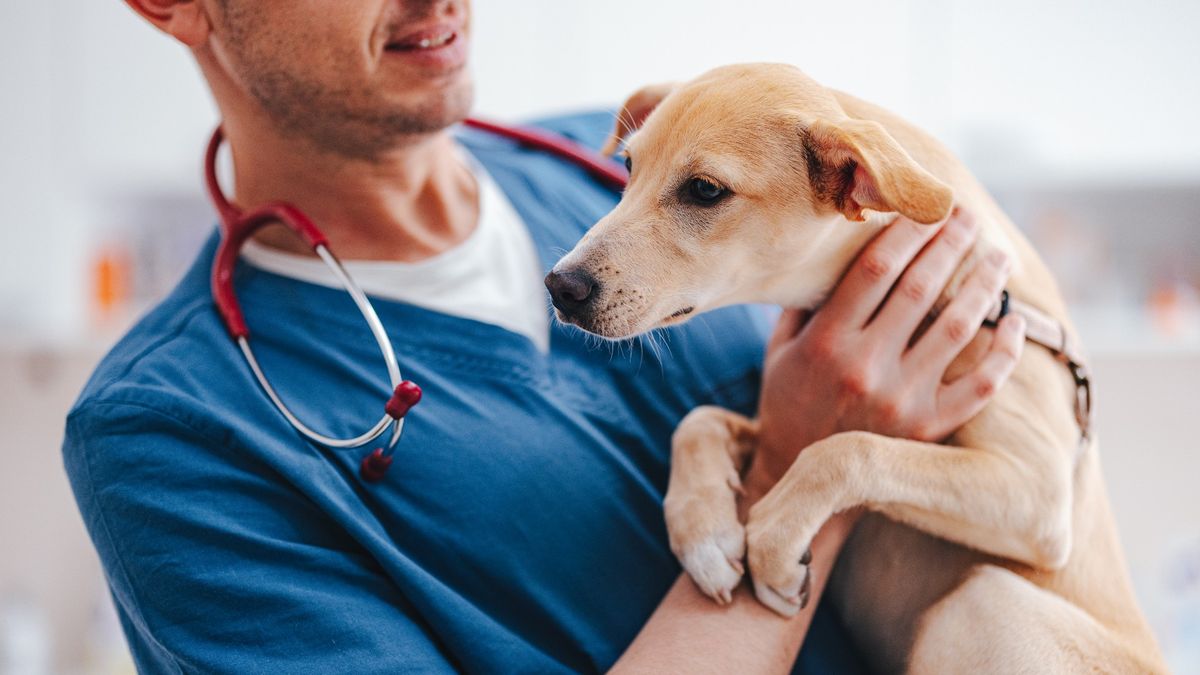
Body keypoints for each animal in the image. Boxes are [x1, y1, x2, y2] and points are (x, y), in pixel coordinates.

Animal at [549, 64, 1166, 672]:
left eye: (705, 190)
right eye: (629, 167)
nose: (560, 287)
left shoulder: (1038, 495)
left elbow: (849, 450)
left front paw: (772, 547)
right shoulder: (778, 418)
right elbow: (699, 421)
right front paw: (702, 531)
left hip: (986, 596)